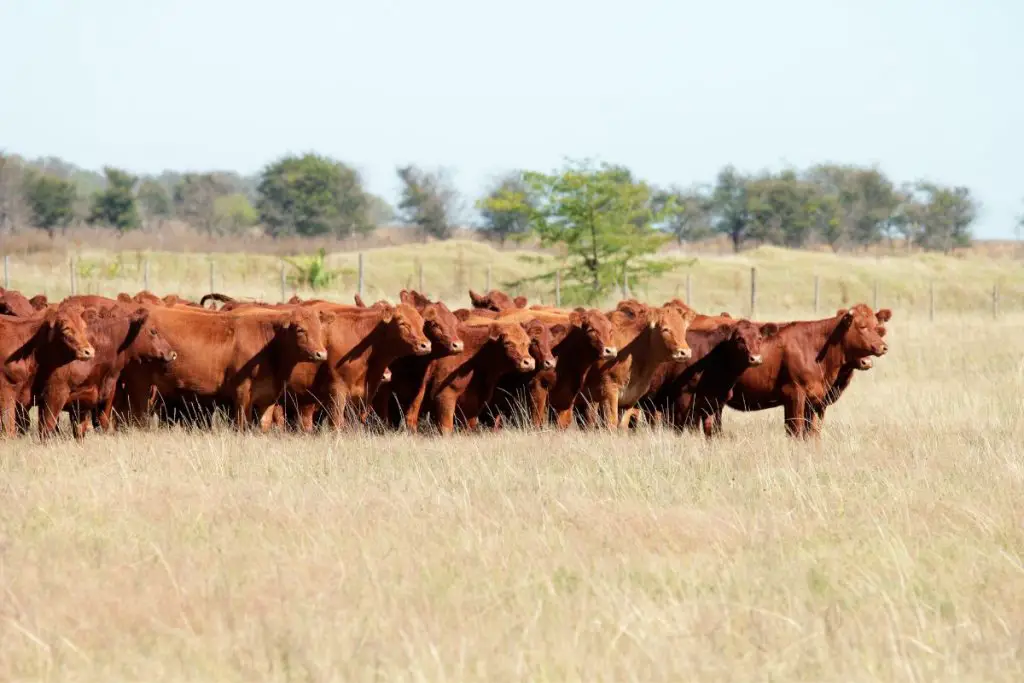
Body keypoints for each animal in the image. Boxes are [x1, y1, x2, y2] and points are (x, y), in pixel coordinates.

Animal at [0, 305, 95, 436]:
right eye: (66, 328)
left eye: (84, 327)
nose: (89, 352)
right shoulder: (6, 389)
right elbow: (8, 425)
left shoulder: (51, 392)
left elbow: (46, 424)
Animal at [577, 299, 696, 428]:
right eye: (665, 329)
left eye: (684, 329)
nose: (685, 352)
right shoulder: (609, 392)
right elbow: (611, 423)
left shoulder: (631, 398)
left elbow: (623, 425)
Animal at [729, 305, 888, 438]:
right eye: (862, 326)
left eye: (878, 329)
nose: (884, 347)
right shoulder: (795, 394)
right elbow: (795, 431)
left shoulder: (816, 401)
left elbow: (813, 433)